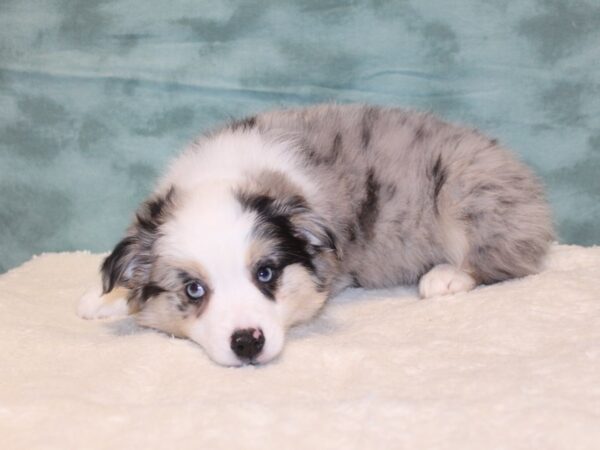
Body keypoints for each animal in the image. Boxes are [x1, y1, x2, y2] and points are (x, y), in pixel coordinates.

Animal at [78, 104, 552, 366]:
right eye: (194, 289)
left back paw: (446, 276)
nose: (248, 343)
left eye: (266, 274)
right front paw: (106, 299)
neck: (222, 177)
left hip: (464, 188)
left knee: (506, 256)